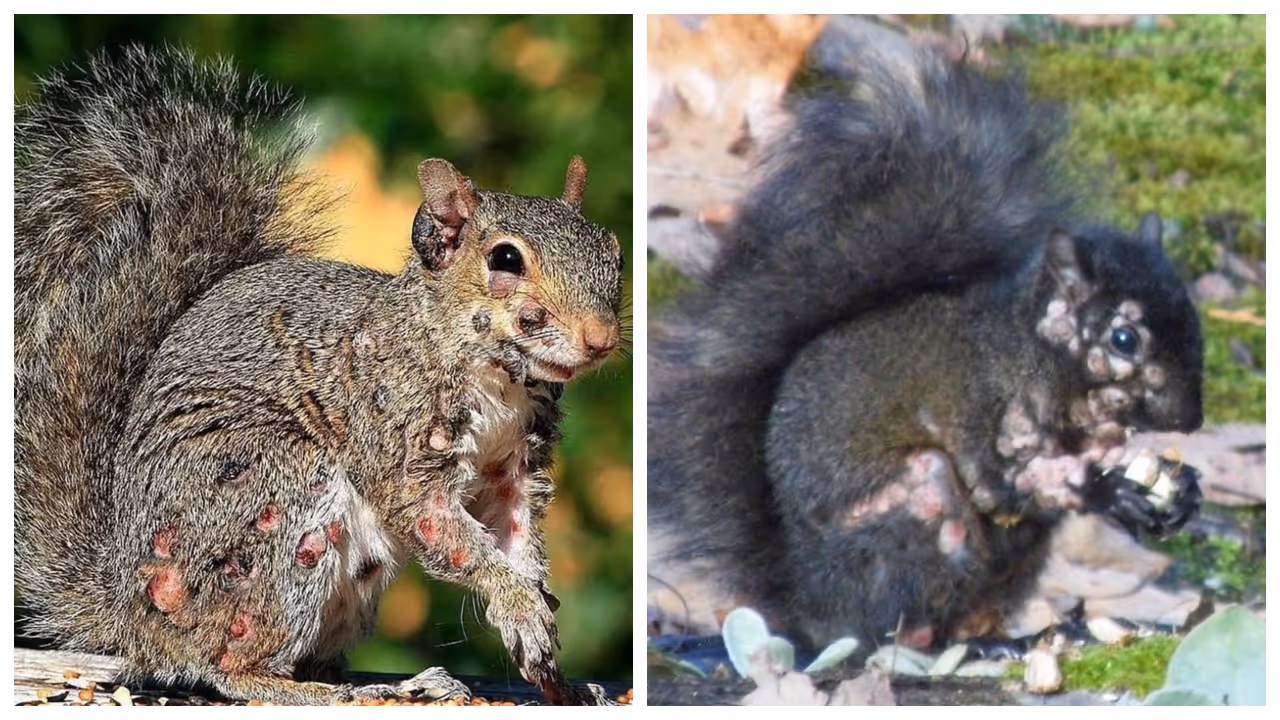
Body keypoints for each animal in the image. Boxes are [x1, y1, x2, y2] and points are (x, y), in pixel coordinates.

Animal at [15, 46, 623, 705]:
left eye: (614, 253)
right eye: (505, 258)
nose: (601, 338)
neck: (498, 380)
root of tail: (133, 611)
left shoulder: (515, 468)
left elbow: (517, 539)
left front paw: (545, 645)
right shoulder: (396, 438)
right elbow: (440, 526)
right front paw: (517, 602)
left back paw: (401, 683)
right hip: (274, 502)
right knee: (218, 665)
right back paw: (313, 690)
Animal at [648, 48, 1204, 652]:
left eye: (1194, 317)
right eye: (1123, 338)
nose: (1192, 420)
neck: (1029, 356)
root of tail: (810, 607)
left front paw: (1180, 491)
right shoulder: (980, 411)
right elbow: (1008, 489)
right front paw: (1109, 494)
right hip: (919, 505)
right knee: (892, 622)